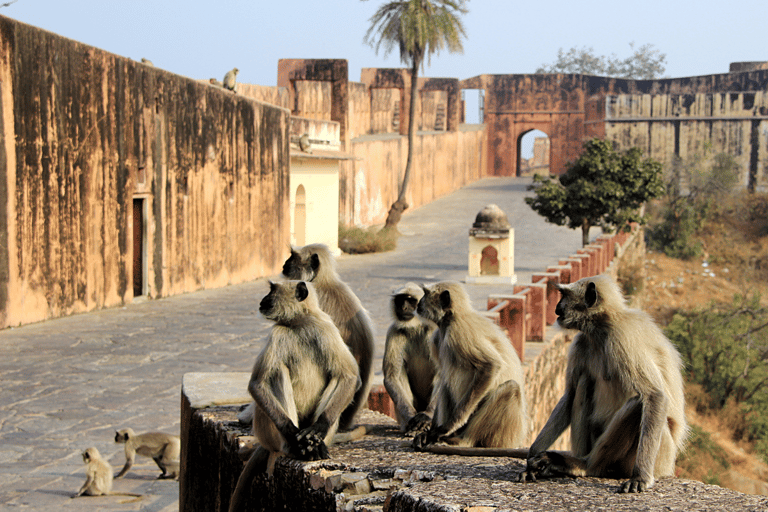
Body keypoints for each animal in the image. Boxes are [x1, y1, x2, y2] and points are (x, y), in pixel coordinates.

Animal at [228, 280, 360, 512]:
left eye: (272, 290)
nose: (263, 300)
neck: (300, 324)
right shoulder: (277, 333)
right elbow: (257, 384)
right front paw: (291, 432)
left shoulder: (326, 328)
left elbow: (349, 376)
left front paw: (318, 429)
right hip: (266, 430)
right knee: (278, 371)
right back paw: (294, 446)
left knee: (336, 376)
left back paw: (316, 446)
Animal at [384, 282, 438, 434]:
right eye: (400, 300)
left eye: (412, 301)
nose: (404, 308)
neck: (416, 327)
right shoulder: (394, 332)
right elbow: (391, 377)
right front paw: (411, 417)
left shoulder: (434, 331)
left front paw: (426, 417)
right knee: (399, 371)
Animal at [414, 280, 528, 452]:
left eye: (426, 294)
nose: (418, 303)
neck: (452, 319)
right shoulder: (436, 339)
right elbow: (442, 377)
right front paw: (428, 430)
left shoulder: (459, 332)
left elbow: (491, 366)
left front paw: (446, 428)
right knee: (446, 384)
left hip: (501, 434)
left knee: (511, 388)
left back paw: (464, 440)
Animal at [516, 274, 688, 494]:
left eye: (564, 295)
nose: (556, 308)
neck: (602, 328)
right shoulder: (581, 342)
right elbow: (570, 395)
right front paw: (532, 458)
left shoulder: (622, 337)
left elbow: (654, 395)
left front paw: (640, 477)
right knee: (583, 383)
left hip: (658, 456)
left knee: (637, 405)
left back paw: (585, 466)